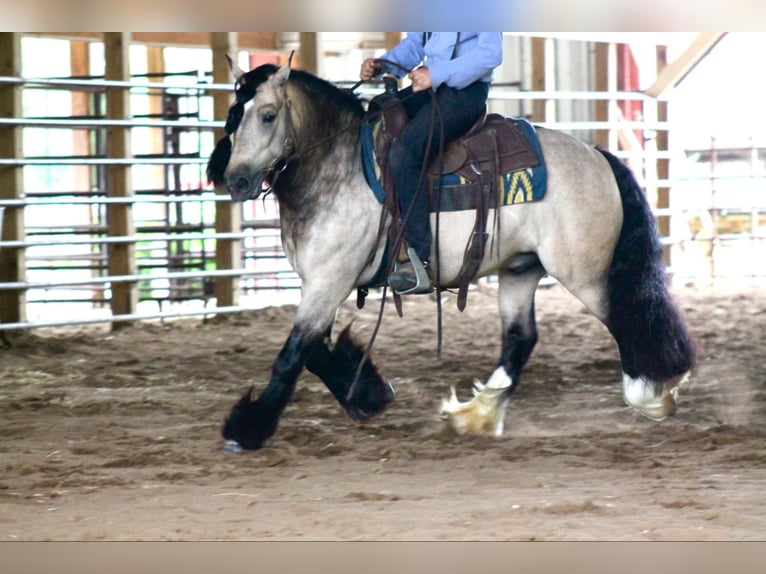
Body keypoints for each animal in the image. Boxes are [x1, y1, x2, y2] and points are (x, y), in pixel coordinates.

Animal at [207, 59, 700, 454]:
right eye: (233, 115)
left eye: (268, 115)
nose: (237, 181)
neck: (337, 165)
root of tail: (598, 157)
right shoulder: (320, 283)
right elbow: (314, 354)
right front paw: (370, 394)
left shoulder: (329, 282)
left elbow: (292, 356)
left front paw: (246, 431)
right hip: (520, 269)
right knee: (521, 338)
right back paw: (476, 414)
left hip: (585, 274)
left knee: (626, 319)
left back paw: (651, 395)